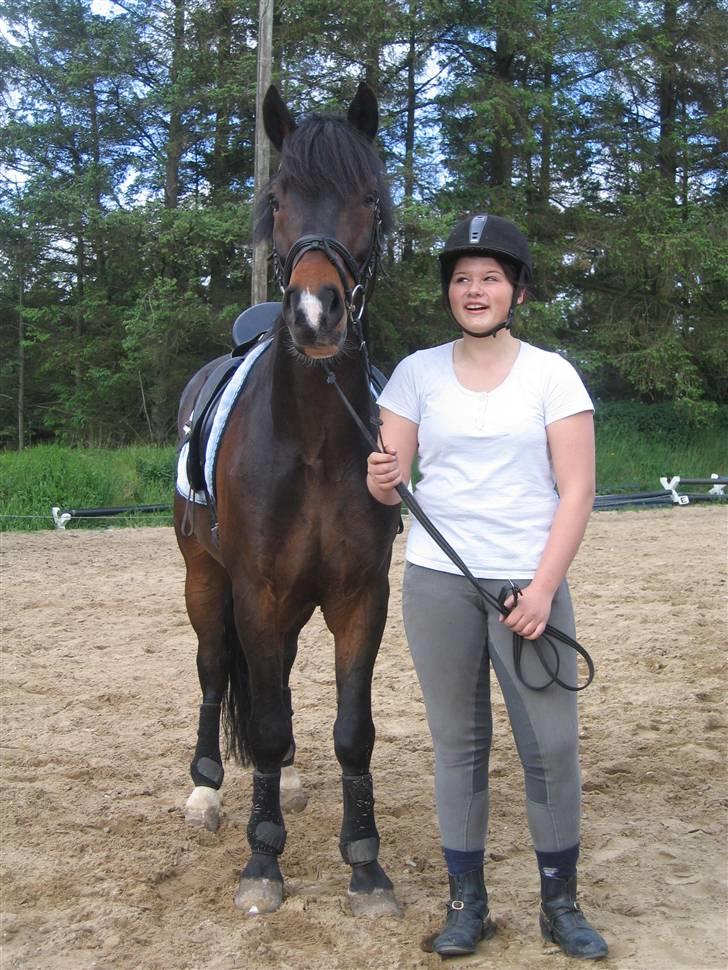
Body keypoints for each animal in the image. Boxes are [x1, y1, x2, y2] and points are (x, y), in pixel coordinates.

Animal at [173, 82, 402, 918]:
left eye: (370, 199)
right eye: (277, 201)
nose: (313, 314)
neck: (312, 440)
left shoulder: (359, 593)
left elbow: (352, 729)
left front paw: (366, 866)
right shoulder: (256, 591)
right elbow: (262, 723)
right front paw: (262, 860)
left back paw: (295, 782)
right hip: (205, 581)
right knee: (214, 671)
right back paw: (207, 793)